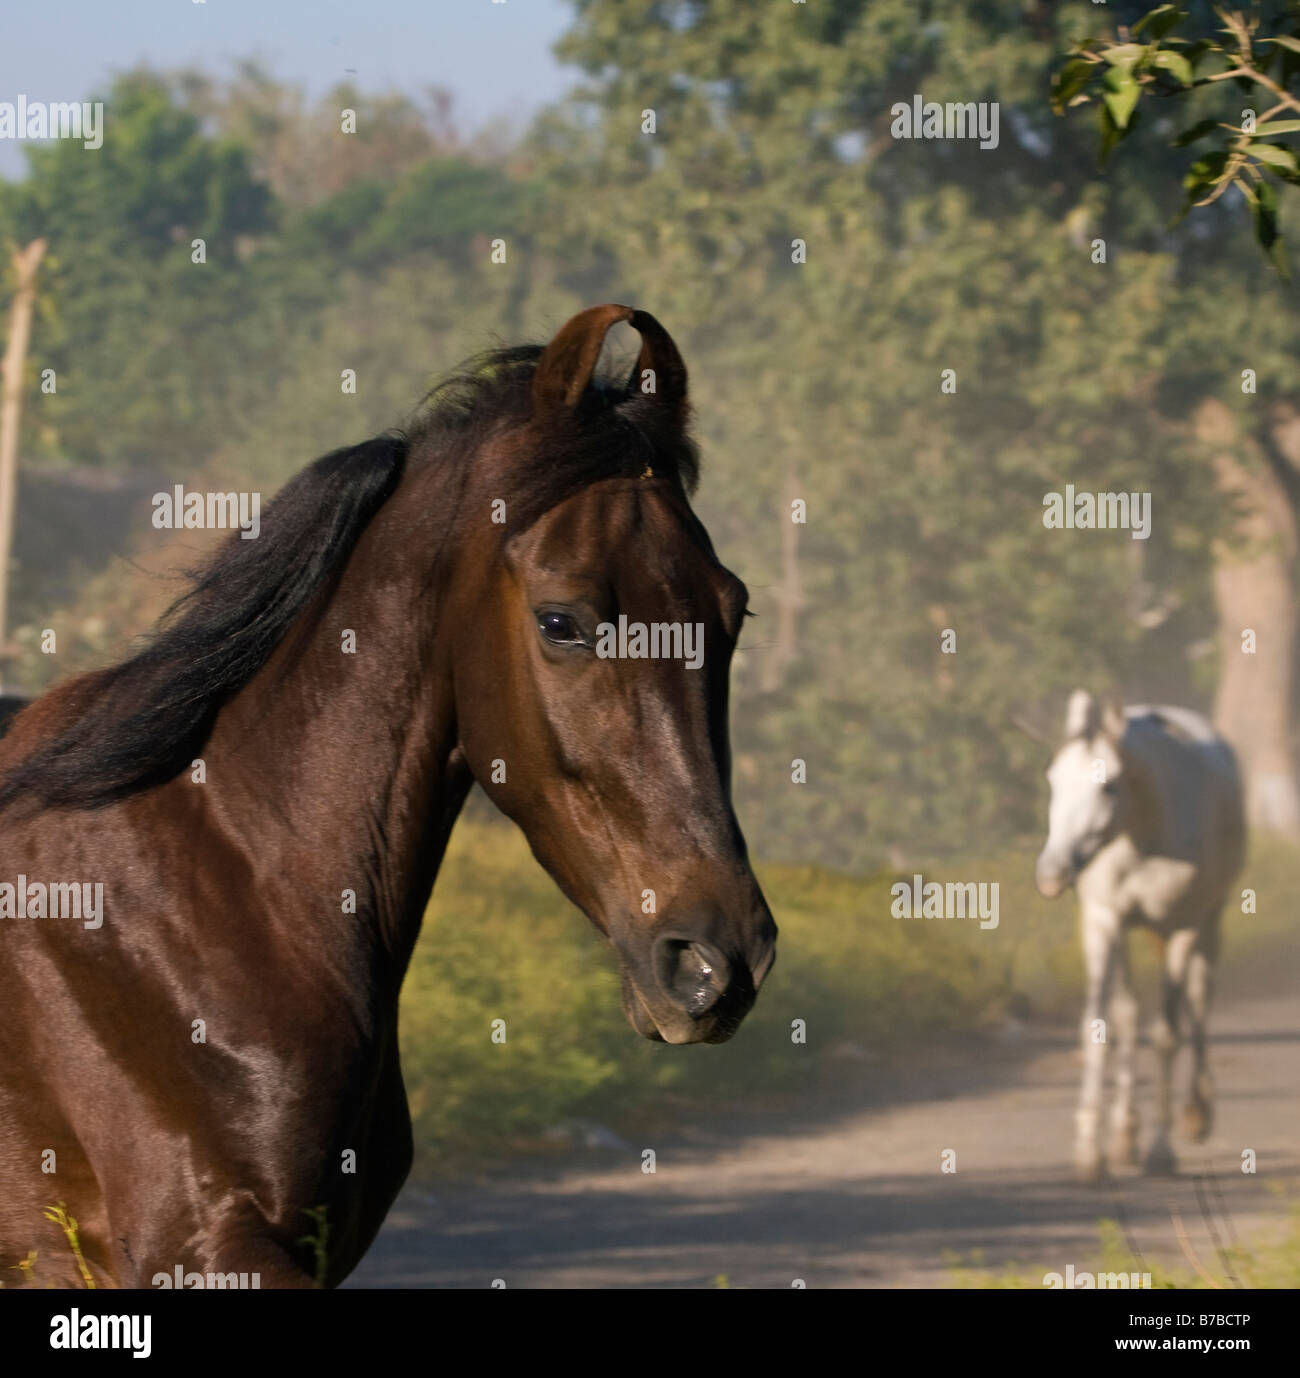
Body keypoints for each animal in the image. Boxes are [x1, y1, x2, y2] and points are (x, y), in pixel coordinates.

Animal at [1035, 689, 1244, 1182]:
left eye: (1108, 785)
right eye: (1054, 779)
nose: (1051, 874)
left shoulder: (1183, 925)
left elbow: (1167, 1034)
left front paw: (1161, 1152)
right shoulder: (1102, 920)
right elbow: (1099, 1026)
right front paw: (1090, 1153)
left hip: (1211, 918)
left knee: (1199, 1000)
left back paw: (1197, 1112)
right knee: (1129, 1015)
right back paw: (1125, 1134)